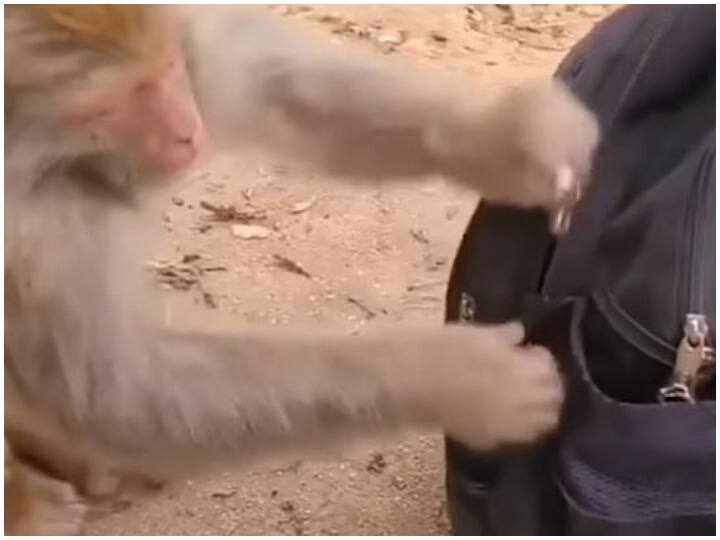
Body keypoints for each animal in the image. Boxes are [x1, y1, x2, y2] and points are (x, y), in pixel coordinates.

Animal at [2, 5, 596, 536]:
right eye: (107, 105)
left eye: (167, 67)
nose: (187, 132)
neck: (53, 163)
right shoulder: (32, 241)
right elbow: (122, 395)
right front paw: (462, 381)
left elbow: (266, 83)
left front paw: (514, 140)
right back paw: (33, 501)